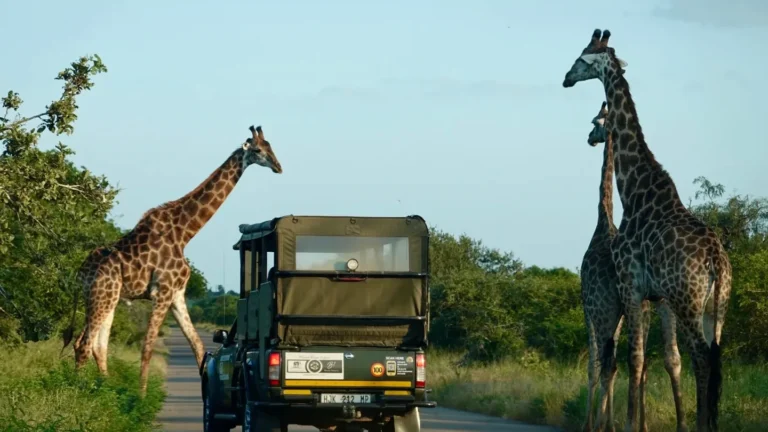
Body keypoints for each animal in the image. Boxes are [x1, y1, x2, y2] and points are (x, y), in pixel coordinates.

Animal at [62, 125, 283, 395]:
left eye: (272, 147)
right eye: (259, 150)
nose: (278, 166)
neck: (185, 232)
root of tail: (80, 272)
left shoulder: (177, 294)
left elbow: (198, 345)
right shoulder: (162, 292)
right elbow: (147, 348)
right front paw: (141, 396)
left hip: (106, 298)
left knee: (96, 346)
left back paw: (105, 390)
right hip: (102, 295)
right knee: (84, 344)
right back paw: (77, 392)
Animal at [581, 102, 687, 432]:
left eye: (594, 121)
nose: (589, 139)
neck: (604, 222)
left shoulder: (590, 307)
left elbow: (596, 365)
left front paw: (596, 423)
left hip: (607, 311)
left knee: (608, 364)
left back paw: (603, 425)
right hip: (646, 306)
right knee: (658, 359)